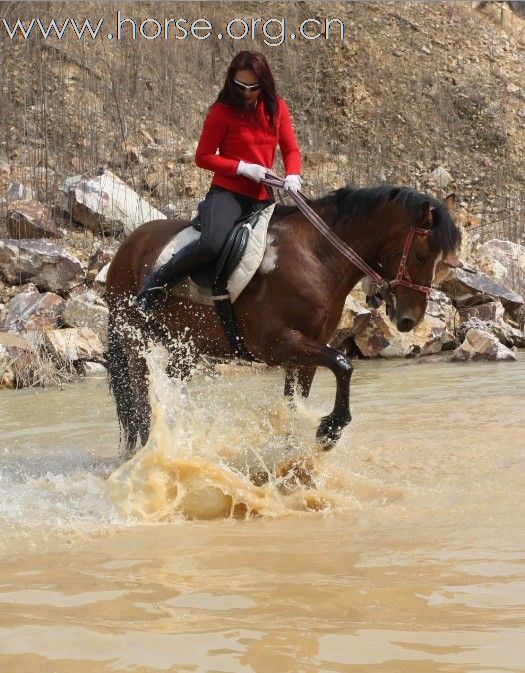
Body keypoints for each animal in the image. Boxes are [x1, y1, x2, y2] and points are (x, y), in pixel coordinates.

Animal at [105, 184, 458, 456]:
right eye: (422, 256)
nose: (410, 319)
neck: (317, 258)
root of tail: (125, 248)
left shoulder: (304, 353)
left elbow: (296, 401)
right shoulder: (279, 345)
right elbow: (344, 364)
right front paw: (330, 430)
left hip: (185, 348)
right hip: (134, 340)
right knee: (140, 404)